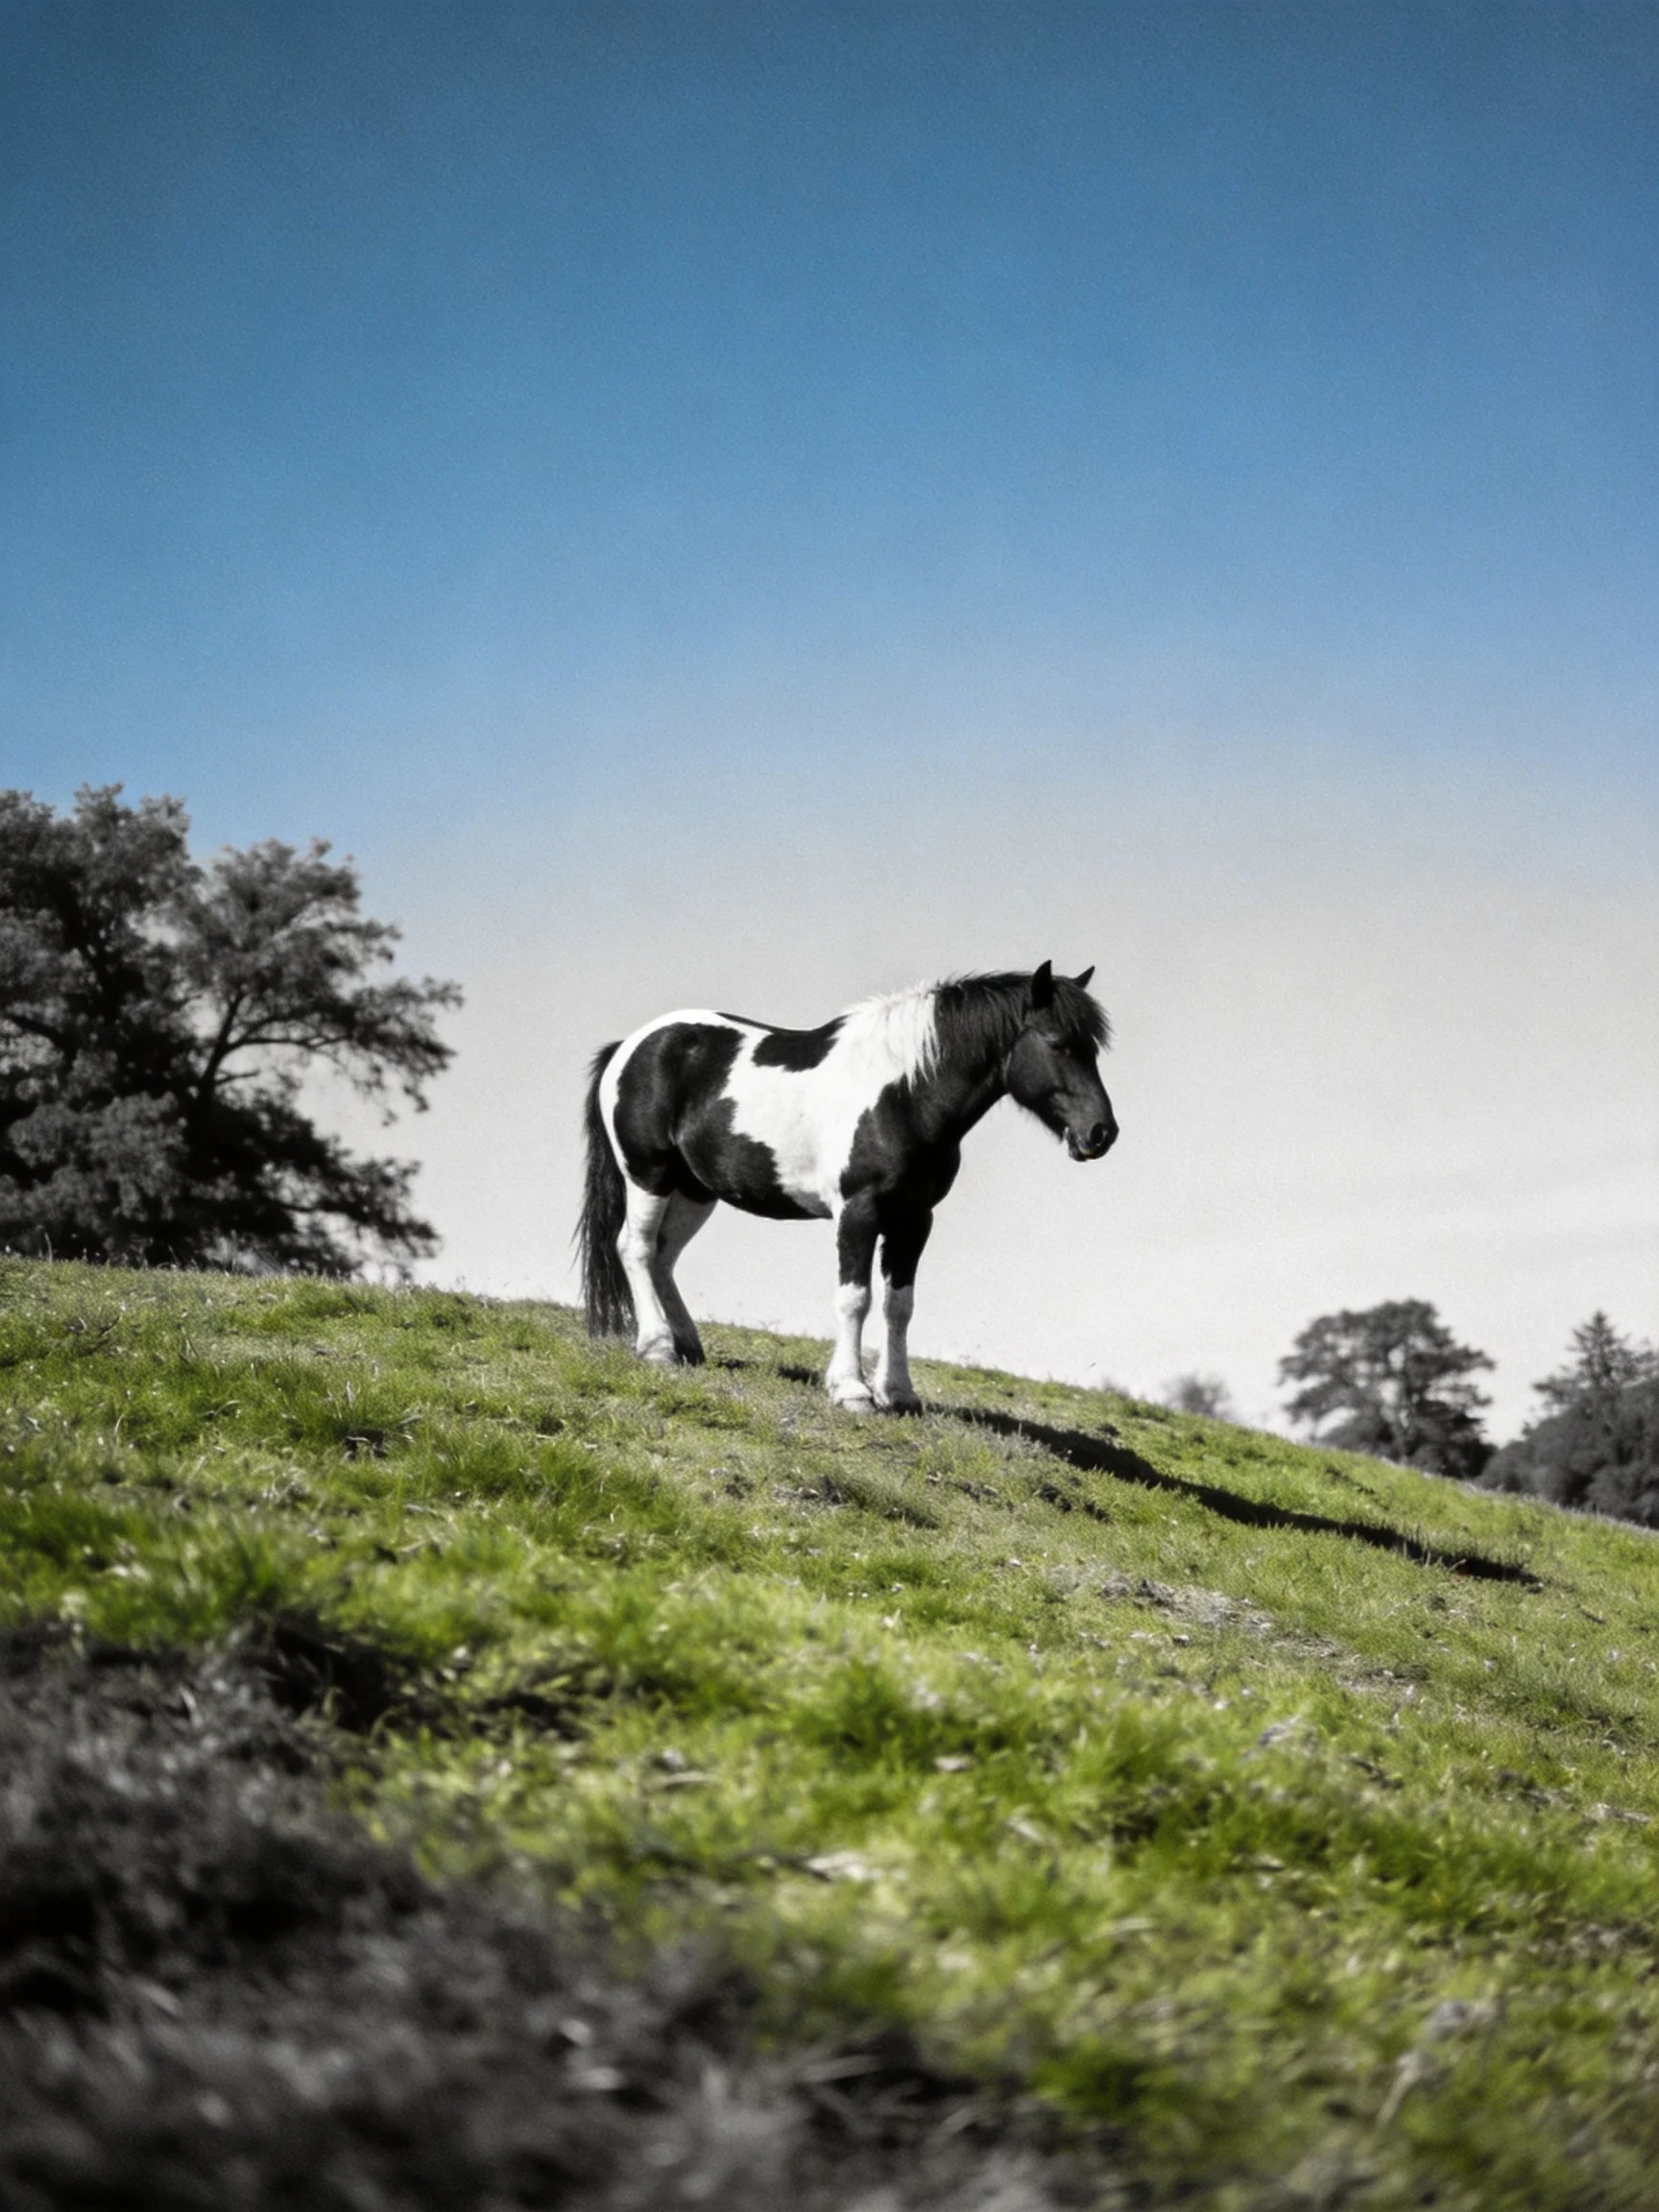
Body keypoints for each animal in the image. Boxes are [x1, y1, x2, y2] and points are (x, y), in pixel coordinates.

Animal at [578, 962, 1117, 1412]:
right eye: (1056, 1042)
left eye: (1093, 1048)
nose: (1101, 1133)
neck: (904, 1095)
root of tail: (630, 1047)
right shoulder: (859, 1212)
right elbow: (854, 1298)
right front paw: (852, 1390)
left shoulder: (914, 1219)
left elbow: (900, 1305)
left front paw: (898, 1393)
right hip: (649, 1174)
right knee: (636, 1248)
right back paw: (657, 1347)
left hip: (695, 1191)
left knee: (664, 1257)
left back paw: (688, 1345)